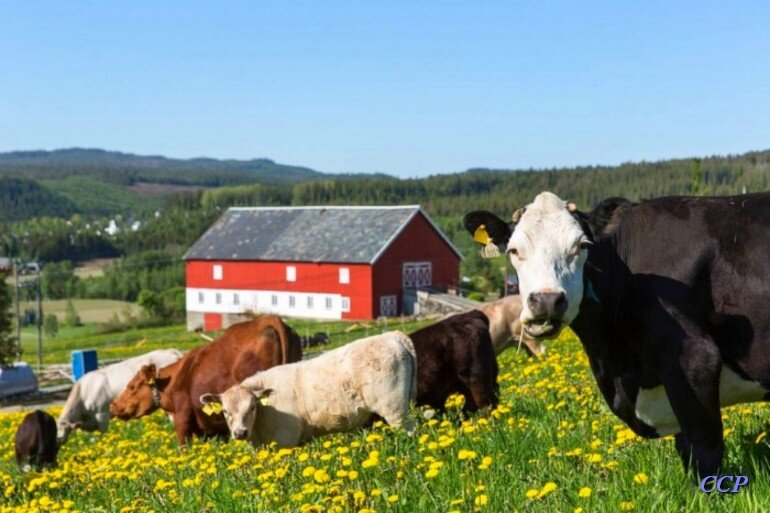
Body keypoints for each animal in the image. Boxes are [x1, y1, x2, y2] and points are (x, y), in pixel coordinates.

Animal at [109, 312, 302, 444]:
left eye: (132, 386)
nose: (113, 406)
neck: (176, 377)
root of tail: (269, 319)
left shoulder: (182, 420)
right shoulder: (213, 429)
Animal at [198, 330, 414, 446]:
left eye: (252, 407)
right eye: (225, 411)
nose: (240, 432)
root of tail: (391, 336)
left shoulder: (285, 440)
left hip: (395, 408)